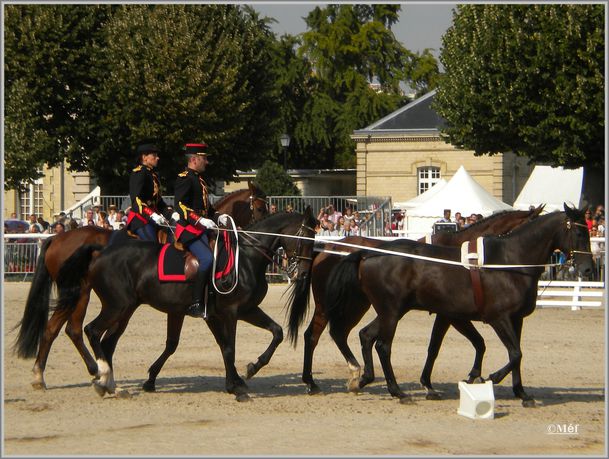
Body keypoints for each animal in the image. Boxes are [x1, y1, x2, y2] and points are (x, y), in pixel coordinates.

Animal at [13, 181, 266, 390]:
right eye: (261, 208)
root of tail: (57, 237)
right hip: (79, 293)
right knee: (57, 329)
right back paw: (45, 375)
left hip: (86, 295)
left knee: (72, 330)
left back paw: (90, 371)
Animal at [52, 209, 316, 402]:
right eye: (305, 239)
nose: (303, 274)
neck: (246, 259)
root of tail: (101, 252)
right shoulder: (229, 312)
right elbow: (229, 347)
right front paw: (237, 387)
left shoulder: (243, 310)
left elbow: (275, 332)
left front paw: (251, 369)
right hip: (116, 306)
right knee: (91, 331)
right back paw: (102, 376)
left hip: (126, 308)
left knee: (106, 341)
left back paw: (109, 384)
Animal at [326, 207, 592, 408]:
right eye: (579, 231)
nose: (588, 268)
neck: (509, 262)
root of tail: (367, 254)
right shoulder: (494, 318)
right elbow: (513, 353)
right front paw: (492, 377)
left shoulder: (513, 319)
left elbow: (513, 353)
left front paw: (521, 393)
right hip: (390, 311)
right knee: (382, 345)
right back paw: (397, 391)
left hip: (390, 311)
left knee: (366, 335)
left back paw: (363, 379)